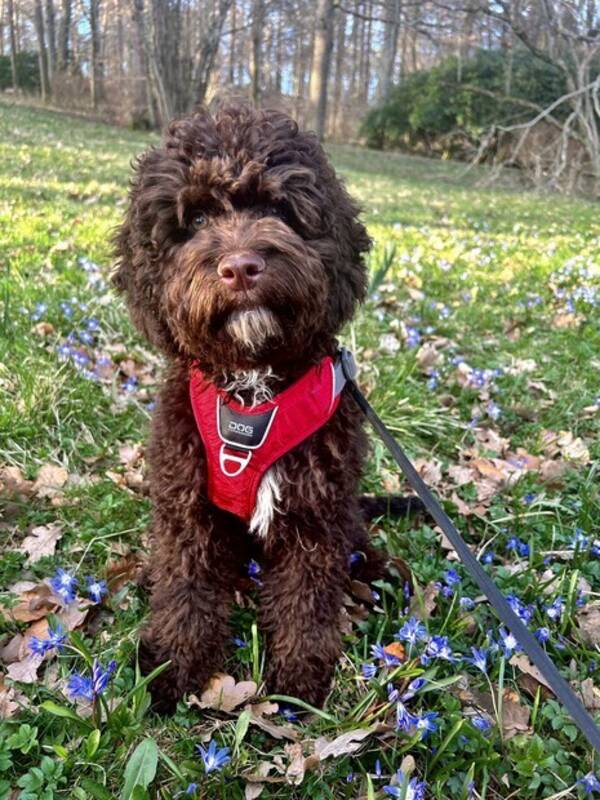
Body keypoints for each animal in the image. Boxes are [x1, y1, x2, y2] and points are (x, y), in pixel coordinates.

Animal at [113, 103, 390, 708]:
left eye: (277, 209)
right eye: (194, 219)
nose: (241, 267)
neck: (252, 388)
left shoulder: (314, 513)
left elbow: (307, 597)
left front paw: (300, 677)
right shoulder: (187, 507)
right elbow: (186, 586)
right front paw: (174, 663)